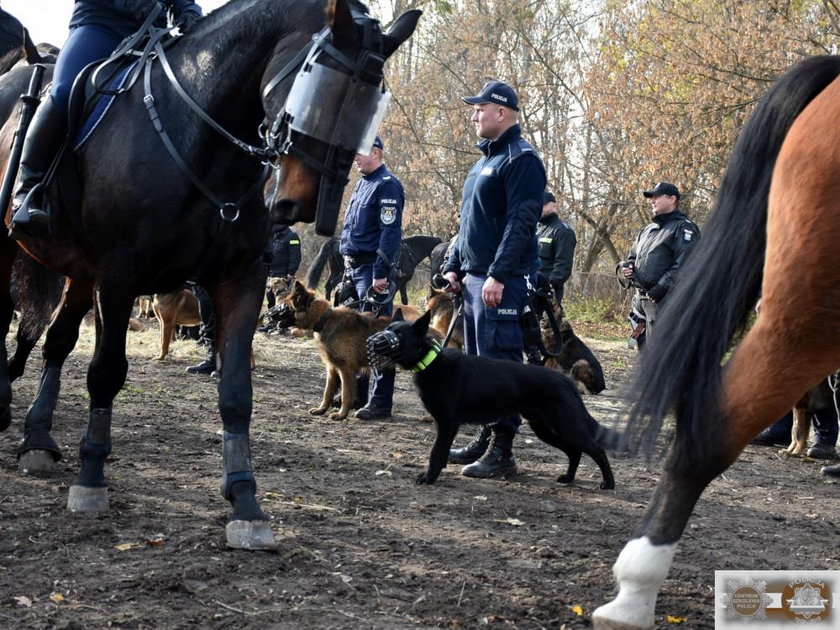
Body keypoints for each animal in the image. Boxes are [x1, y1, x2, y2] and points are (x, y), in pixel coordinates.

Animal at [0, 0, 420, 552]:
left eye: (369, 106)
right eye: (319, 85)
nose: (301, 206)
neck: (197, 139)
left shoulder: (238, 283)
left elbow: (236, 390)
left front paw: (245, 500)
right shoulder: (119, 277)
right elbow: (107, 373)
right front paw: (91, 478)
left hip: (79, 273)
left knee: (58, 340)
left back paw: (38, 437)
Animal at [368, 312, 616, 488]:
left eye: (400, 335)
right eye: (387, 329)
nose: (374, 341)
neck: (430, 362)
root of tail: (567, 382)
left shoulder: (448, 424)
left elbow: (437, 453)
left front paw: (429, 477)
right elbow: (440, 452)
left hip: (566, 426)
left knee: (596, 450)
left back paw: (609, 482)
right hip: (545, 429)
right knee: (574, 451)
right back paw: (569, 478)